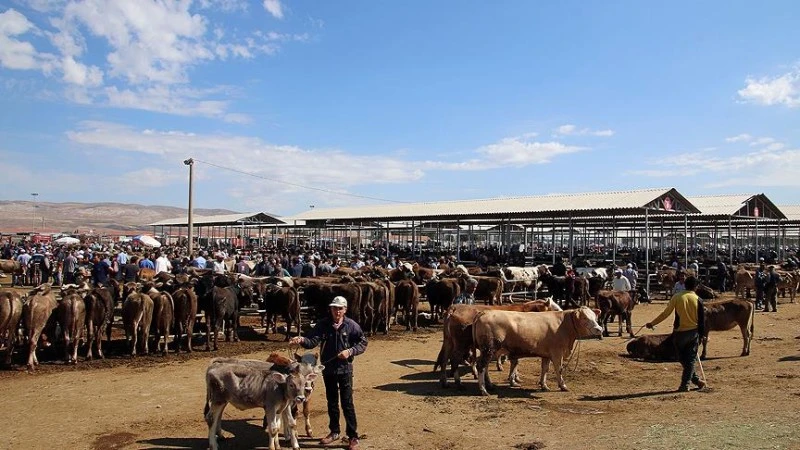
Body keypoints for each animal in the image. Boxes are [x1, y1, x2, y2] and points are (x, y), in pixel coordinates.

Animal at [472, 306, 604, 394]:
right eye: (584, 318)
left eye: (594, 316)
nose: (599, 329)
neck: (564, 325)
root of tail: (484, 312)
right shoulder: (557, 353)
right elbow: (559, 369)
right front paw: (563, 386)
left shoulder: (547, 354)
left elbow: (545, 369)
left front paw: (544, 385)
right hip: (489, 349)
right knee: (481, 366)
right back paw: (483, 390)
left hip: (488, 351)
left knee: (485, 367)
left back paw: (489, 385)